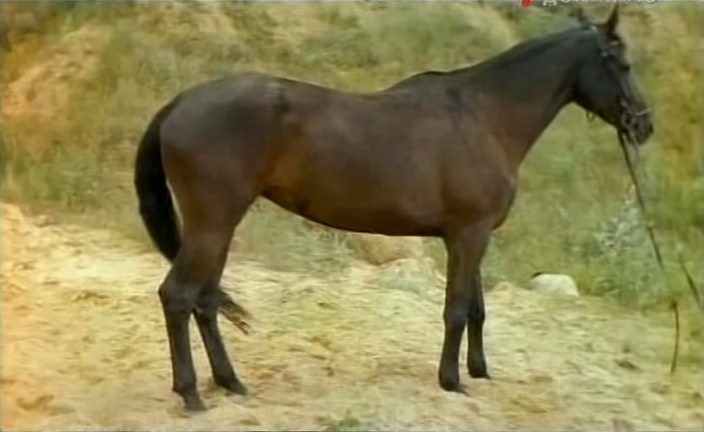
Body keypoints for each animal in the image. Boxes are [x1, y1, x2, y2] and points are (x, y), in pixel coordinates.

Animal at [134, 5, 653, 411]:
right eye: (624, 64)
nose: (644, 126)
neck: (484, 115)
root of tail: (181, 102)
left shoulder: (472, 237)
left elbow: (478, 308)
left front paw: (480, 372)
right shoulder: (468, 235)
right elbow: (457, 308)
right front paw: (452, 381)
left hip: (219, 226)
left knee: (204, 300)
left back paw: (230, 383)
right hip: (212, 223)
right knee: (178, 296)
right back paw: (191, 394)